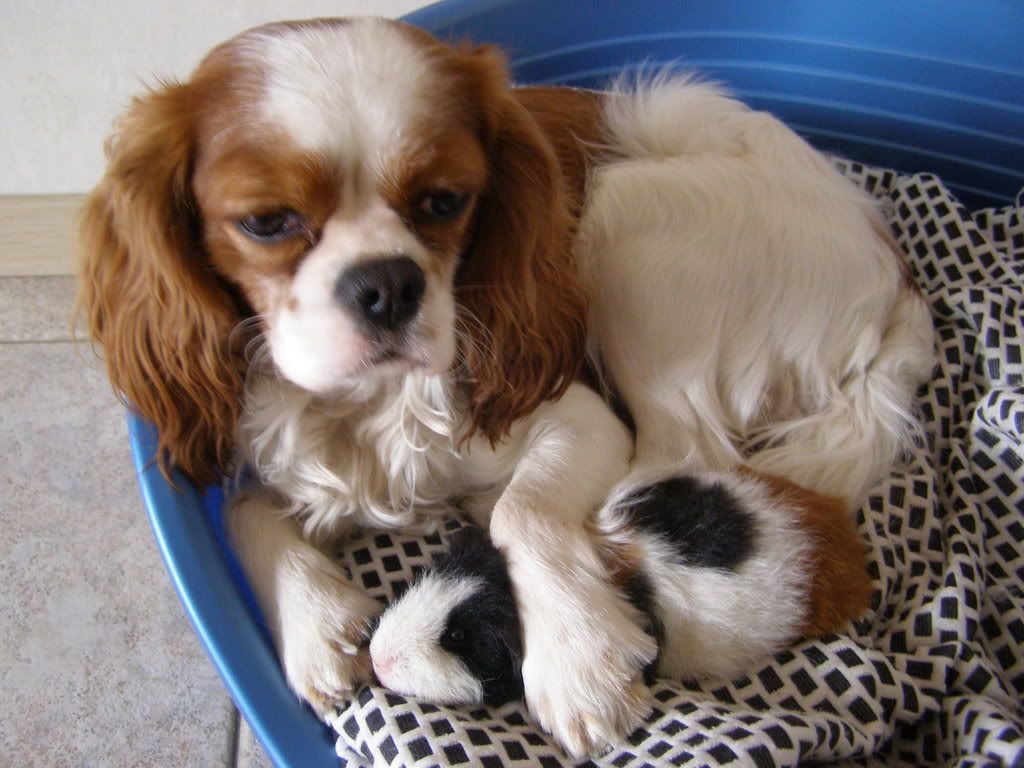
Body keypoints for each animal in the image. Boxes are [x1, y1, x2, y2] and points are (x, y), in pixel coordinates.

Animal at [78, 17, 934, 756]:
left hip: (628, 210)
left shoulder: (574, 413)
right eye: (265, 221)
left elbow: (529, 508)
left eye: (445, 201)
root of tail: (894, 264)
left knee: (672, 458)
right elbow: (246, 512)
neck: (367, 407)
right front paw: (314, 621)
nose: (387, 284)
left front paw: (578, 658)